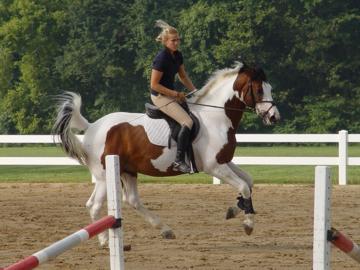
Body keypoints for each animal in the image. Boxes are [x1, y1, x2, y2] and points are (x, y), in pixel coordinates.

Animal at [52, 62, 282, 246]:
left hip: (127, 171)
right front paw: (248, 223)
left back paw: (165, 230)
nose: (274, 117)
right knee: (94, 205)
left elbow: (249, 182)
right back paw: (105, 242)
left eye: (270, 88)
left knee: (132, 200)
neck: (216, 116)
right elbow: (243, 186)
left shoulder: (224, 161)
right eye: (259, 90)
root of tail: (92, 127)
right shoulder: (214, 166)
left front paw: (236, 208)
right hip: (103, 176)